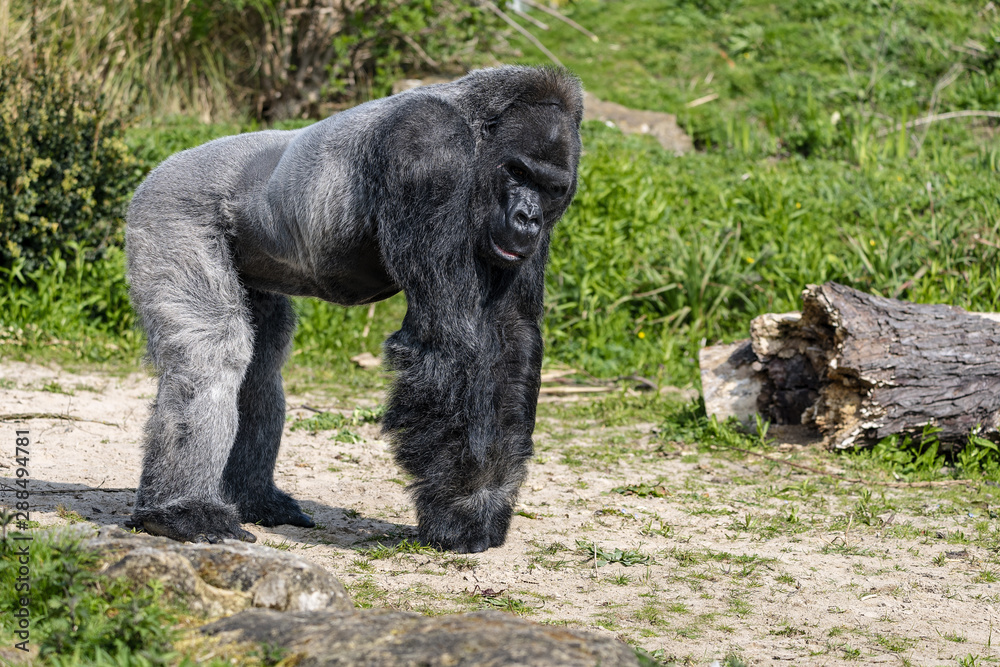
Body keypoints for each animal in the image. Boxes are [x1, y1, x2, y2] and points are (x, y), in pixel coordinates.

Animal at [121, 66, 584, 552]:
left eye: (551, 188)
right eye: (517, 172)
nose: (528, 218)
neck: (476, 131)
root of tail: (163, 165)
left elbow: (512, 338)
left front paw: (486, 502)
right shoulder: (428, 149)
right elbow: (450, 340)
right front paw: (464, 509)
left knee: (261, 364)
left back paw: (253, 500)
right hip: (169, 207)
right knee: (210, 353)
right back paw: (181, 511)